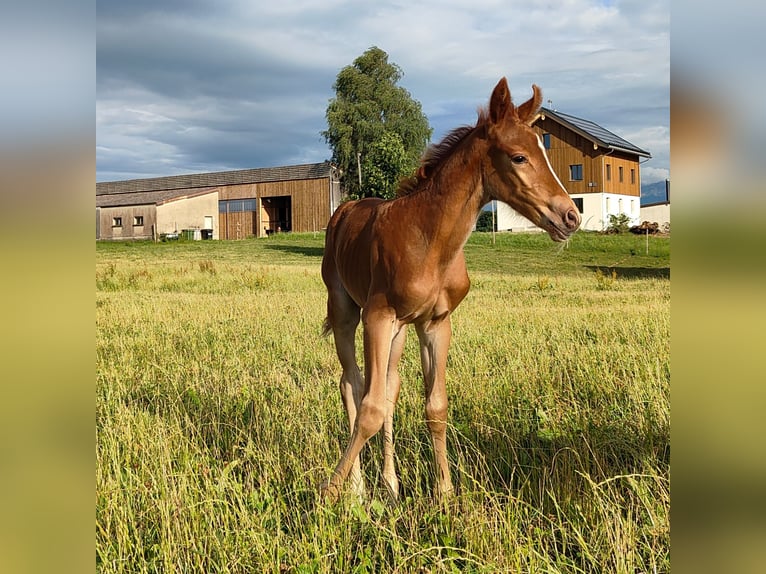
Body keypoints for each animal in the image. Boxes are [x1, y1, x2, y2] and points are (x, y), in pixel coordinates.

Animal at [320, 77, 580, 503]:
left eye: (543, 148)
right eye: (518, 157)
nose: (570, 216)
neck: (431, 240)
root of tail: (344, 209)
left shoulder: (435, 323)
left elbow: (434, 407)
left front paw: (443, 493)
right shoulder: (377, 315)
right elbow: (369, 407)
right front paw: (328, 492)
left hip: (400, 330)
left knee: (389, 388)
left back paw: (390, 484)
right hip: (346, 310)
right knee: (351, 384)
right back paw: (357, 487)